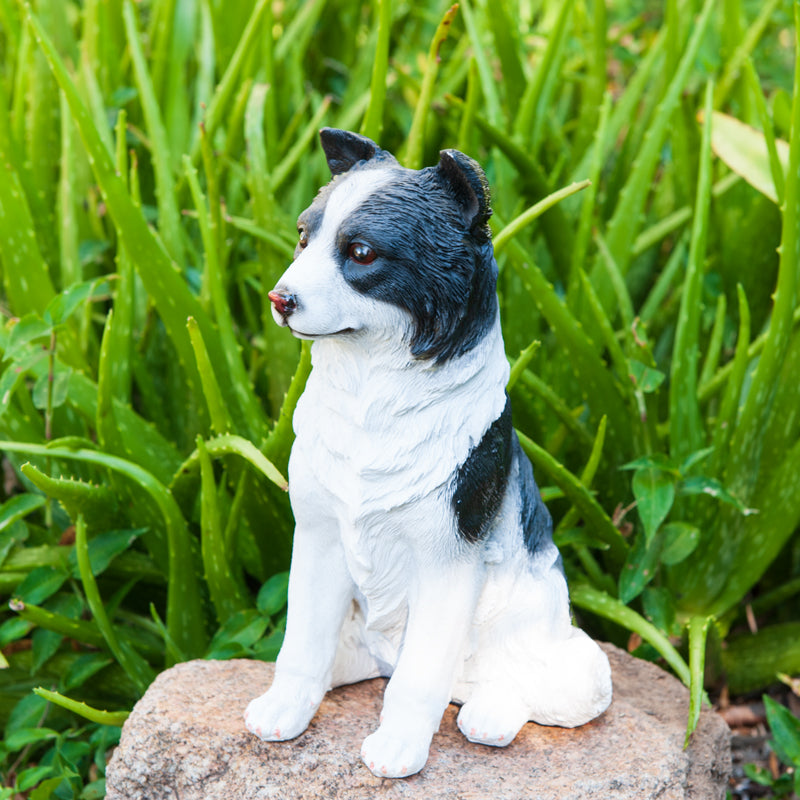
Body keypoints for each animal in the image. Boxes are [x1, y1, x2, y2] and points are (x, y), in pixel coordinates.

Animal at [245, 128, 612, 780]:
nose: (279, 299)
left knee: (532, 687)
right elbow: (301, 643)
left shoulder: (449, 560)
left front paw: (397, 749)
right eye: (303, 237)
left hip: (572, 659)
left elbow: (419, 678)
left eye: (361, 253)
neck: (371, 397)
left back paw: (488, 715)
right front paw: (285, 710)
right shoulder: (317, 537)